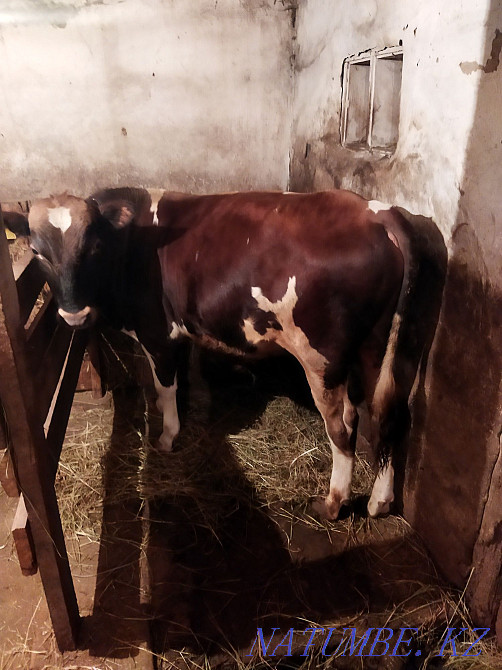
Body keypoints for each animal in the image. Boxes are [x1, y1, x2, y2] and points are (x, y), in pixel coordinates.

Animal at [9, 187, 424, 521]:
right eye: (37, 252)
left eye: (93, 247)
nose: (73, 314)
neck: (129, 247)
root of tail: (371, 210)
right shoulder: (180, 333)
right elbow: (177, 383)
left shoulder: (157, 334)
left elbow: (165, 385)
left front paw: (166, 437)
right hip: (373, 348)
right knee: (384, 416)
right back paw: (379, 502)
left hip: (321, 356)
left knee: (343, 426)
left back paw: (333, 504)